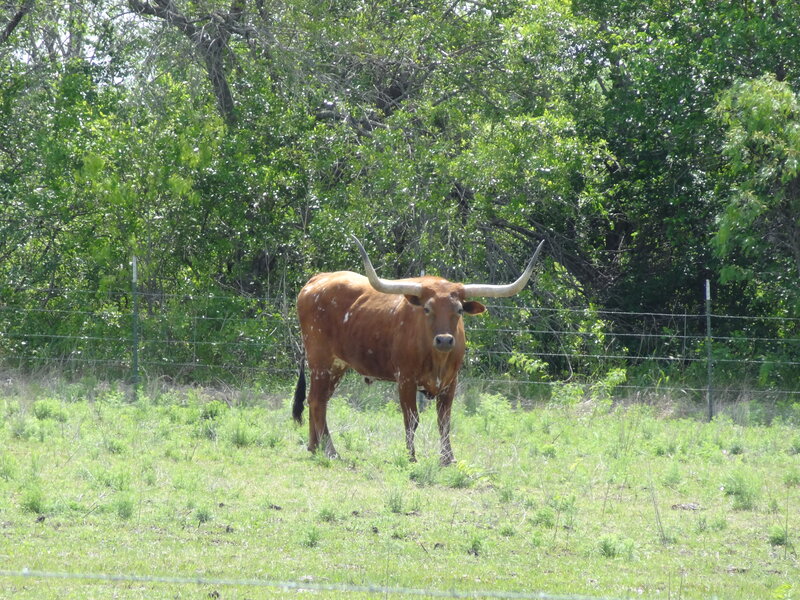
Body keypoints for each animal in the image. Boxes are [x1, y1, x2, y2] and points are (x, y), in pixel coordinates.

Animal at [293, 235, 545, 465]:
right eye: (427, 309)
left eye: (459, 310)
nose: (444, 340)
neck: (437, 358)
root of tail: (317, 279)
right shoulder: (405, 379)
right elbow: (411, 419)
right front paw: (411, 456)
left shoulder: (451, 382)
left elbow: (444, 421)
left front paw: (448, 458)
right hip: (320, 360)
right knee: (317, 401)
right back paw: (330, 451)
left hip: (337, 366)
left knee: (318, 400)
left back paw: (314, 447)